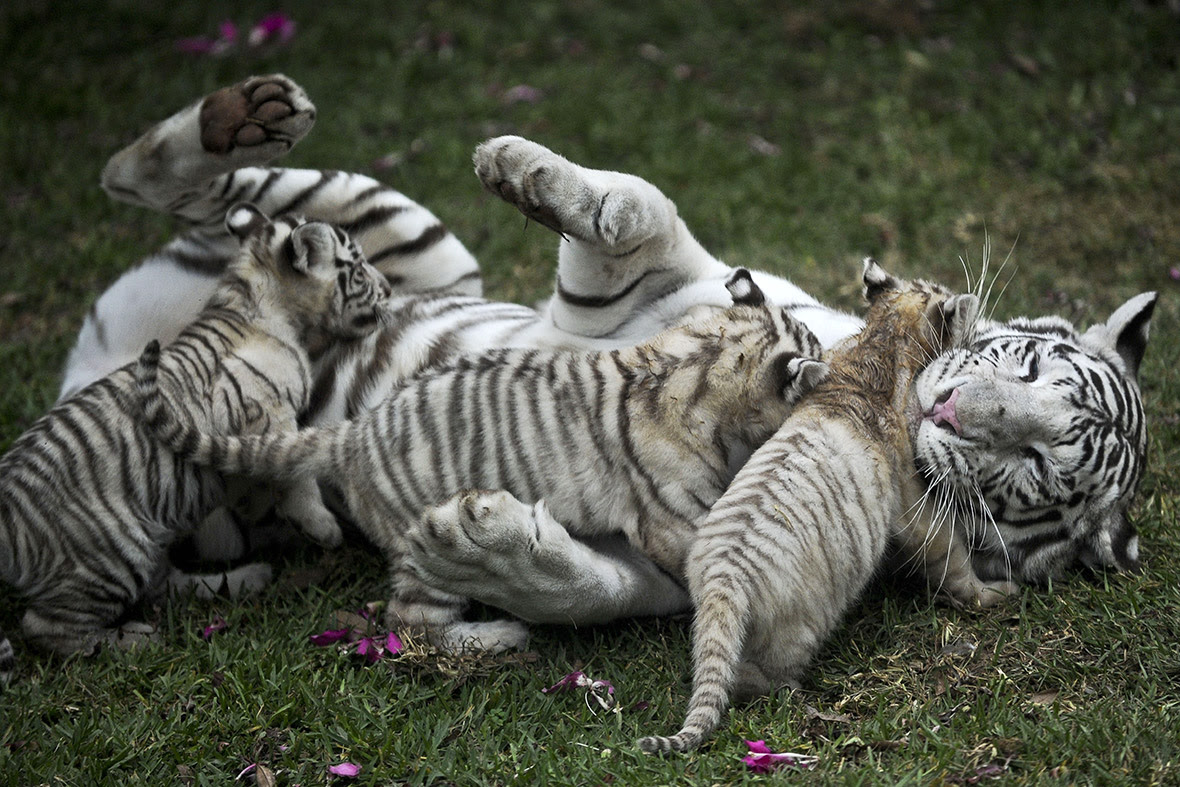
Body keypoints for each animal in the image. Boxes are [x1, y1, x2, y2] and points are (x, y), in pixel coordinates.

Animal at [0, 204, 390, 686]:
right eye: (357, 269)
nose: (390, 289)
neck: (253, 298)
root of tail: (8, 514)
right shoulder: (269, 414)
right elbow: (296, 477)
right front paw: (323, 529)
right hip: (109, 552)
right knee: (45, 626)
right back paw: (130, 641)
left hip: (145, 544)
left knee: (161, 586)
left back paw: (247, 578)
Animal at [134, 270, 827, 652]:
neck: (703, 354)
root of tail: (351, 435)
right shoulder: (674, 517)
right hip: (426, 547)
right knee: (413, 624)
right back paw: (497, 637)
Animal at [638, 261, 1009, 754]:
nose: (975, 307)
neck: (880, 341)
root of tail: (723, 583)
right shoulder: (913, 498)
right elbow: (948, 551)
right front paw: (993, 593)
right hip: (798, 628)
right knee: (757, 676)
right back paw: (793, 692)